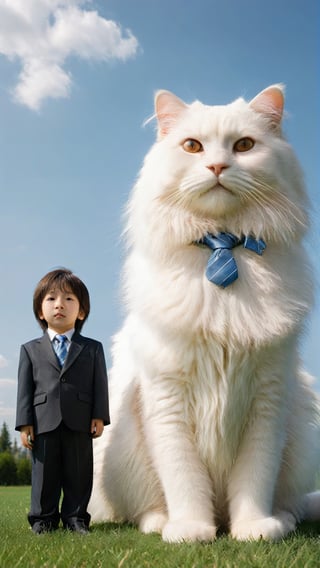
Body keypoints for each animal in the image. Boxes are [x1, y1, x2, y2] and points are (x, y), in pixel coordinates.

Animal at [89, 85, 320, 540]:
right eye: (192, 146)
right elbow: (184, 478)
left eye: (244, 146)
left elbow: (254, 479)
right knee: (143, 508)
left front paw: (253, 529)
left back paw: (280, 521)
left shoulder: (267, 398)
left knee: (294, 503)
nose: (217, 166)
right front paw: (192, 531)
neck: (224, 248)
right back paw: (160, 524)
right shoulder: (167, 397)